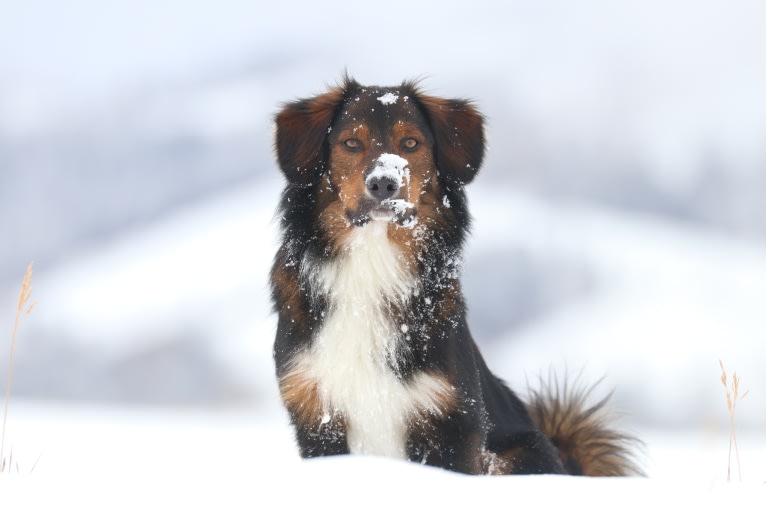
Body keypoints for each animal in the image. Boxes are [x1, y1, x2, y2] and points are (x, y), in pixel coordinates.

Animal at [270, 76, 640, 476]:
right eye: (351, 143)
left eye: (411, 143)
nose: (384, 184)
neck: (373, 260)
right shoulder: (317, 414)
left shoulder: (450, 422)